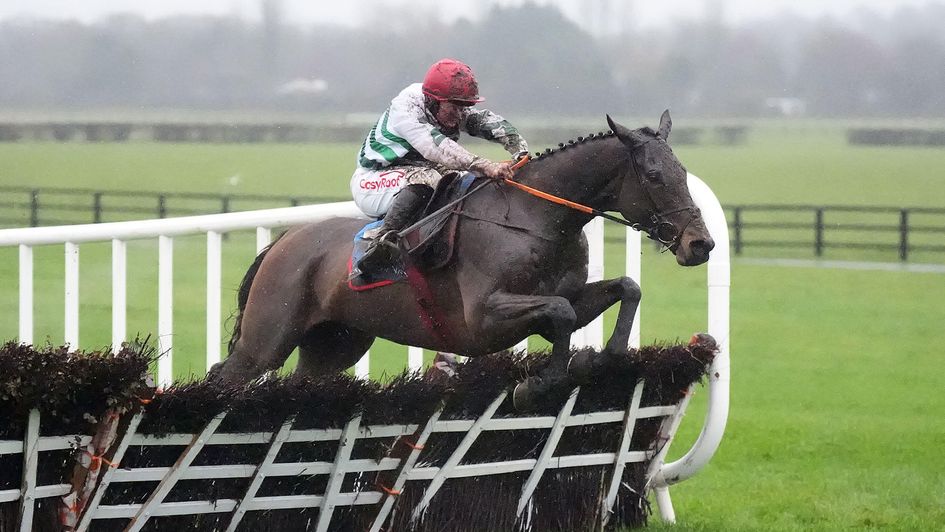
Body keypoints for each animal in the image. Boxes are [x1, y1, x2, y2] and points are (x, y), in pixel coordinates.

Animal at [210, 111, 716, 404]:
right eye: (654, 175)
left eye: (683, 170)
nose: (700, 244)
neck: (535, 217)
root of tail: (284, 241)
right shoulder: (483, 319)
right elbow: (561, 312)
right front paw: (537, 384)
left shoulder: (567, 294)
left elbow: (623, 289)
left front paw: (600, 359)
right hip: (268, 338)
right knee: (227, 374)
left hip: (336, 343)